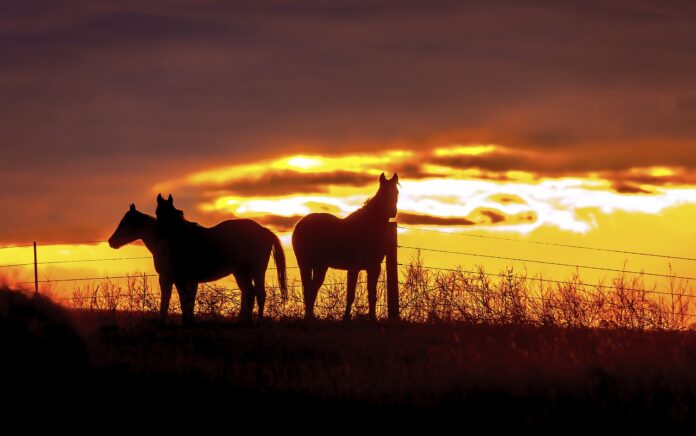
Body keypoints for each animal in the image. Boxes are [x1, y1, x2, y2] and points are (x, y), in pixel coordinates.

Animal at [155, 194, 287, 323]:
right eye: (157, 213)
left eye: (169, 213)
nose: (159, 234)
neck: (184, 238)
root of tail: (264, 230)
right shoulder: (187, 279)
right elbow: (188, 300)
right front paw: (190, 321)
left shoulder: (181, 278)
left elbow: (185, 301)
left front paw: (186, 322)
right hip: (244, 272)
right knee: (251, 293)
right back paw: (244, 321)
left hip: (255, 271)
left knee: (258, 294)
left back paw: (256, 321)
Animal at [292, 172, 399, 321]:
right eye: (383, 192)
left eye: (396, 192)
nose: (392, 212)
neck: (368, 227)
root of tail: (300, 224)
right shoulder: (354, 268)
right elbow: (350, 294)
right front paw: (346, 317)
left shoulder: (374, 268)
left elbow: (372, 295)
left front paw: (372, 318)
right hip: (305, 264)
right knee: (308, 289)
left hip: (320, 266)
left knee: (312, 289)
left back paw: (311, 316)